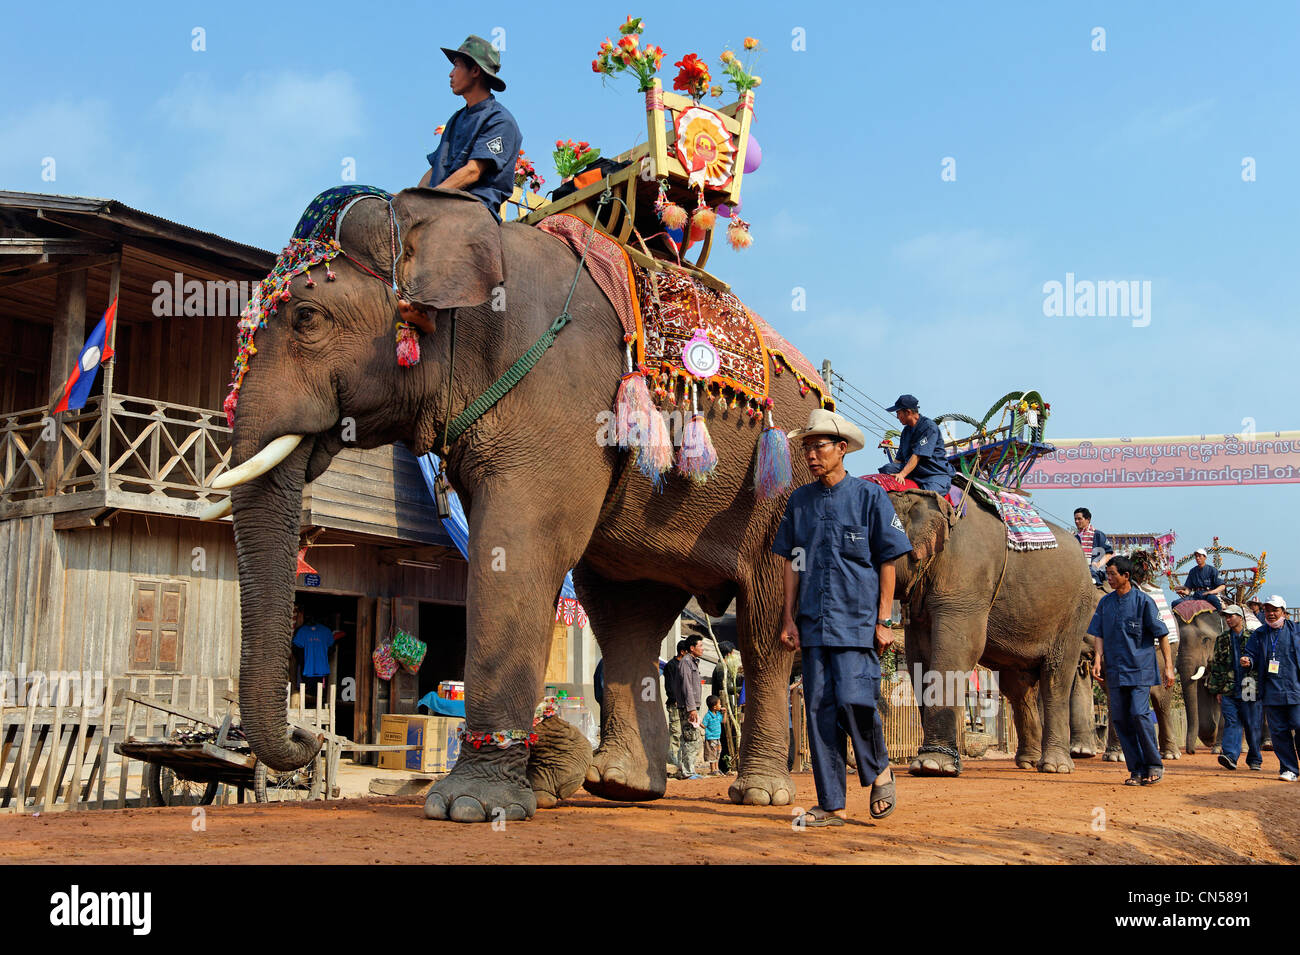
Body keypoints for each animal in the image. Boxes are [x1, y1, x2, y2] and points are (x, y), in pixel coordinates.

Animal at [210, 187, 821, 821]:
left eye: (307, 318)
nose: (310, 735)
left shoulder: (560, 395)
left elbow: (518, 548)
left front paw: (470, 808)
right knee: (626, 612)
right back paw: (622, 786)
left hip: (784, 487)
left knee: (762, 625)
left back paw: (760, 794)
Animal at [883, 488, 1097, 774]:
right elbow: (919, 656)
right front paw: (928, 764)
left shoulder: (966, 573)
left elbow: (960, 647)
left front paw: (931, 765)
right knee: (1018, 686)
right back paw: (1028, 762)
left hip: (1074, 612)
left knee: (1056, 677)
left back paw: (1055, 767)